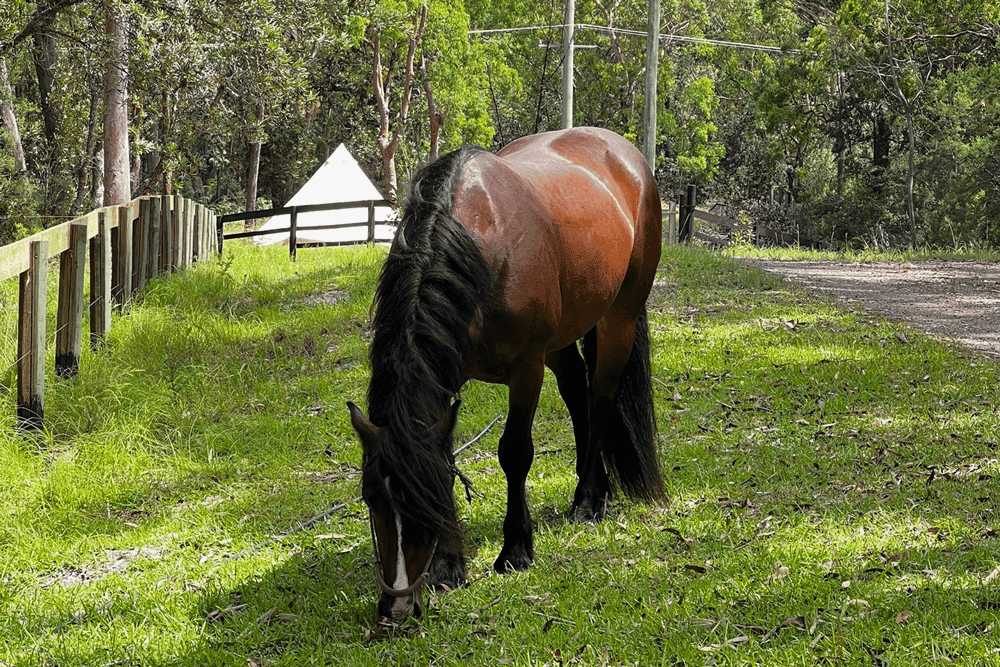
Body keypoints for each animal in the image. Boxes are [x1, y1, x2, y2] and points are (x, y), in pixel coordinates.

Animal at [347, 126, 664, 622]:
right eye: (370, 498)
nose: (396, 607)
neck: (482, 247)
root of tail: (628, 155)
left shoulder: (526, 370)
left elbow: (515, 452)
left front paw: (516, 549)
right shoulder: (448, 378)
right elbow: (446, 454)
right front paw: (448, 565)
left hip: (619, 318)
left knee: (600, 396)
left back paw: (589, 498)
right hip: (565, 338)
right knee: (577, 390)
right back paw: (592, 483)